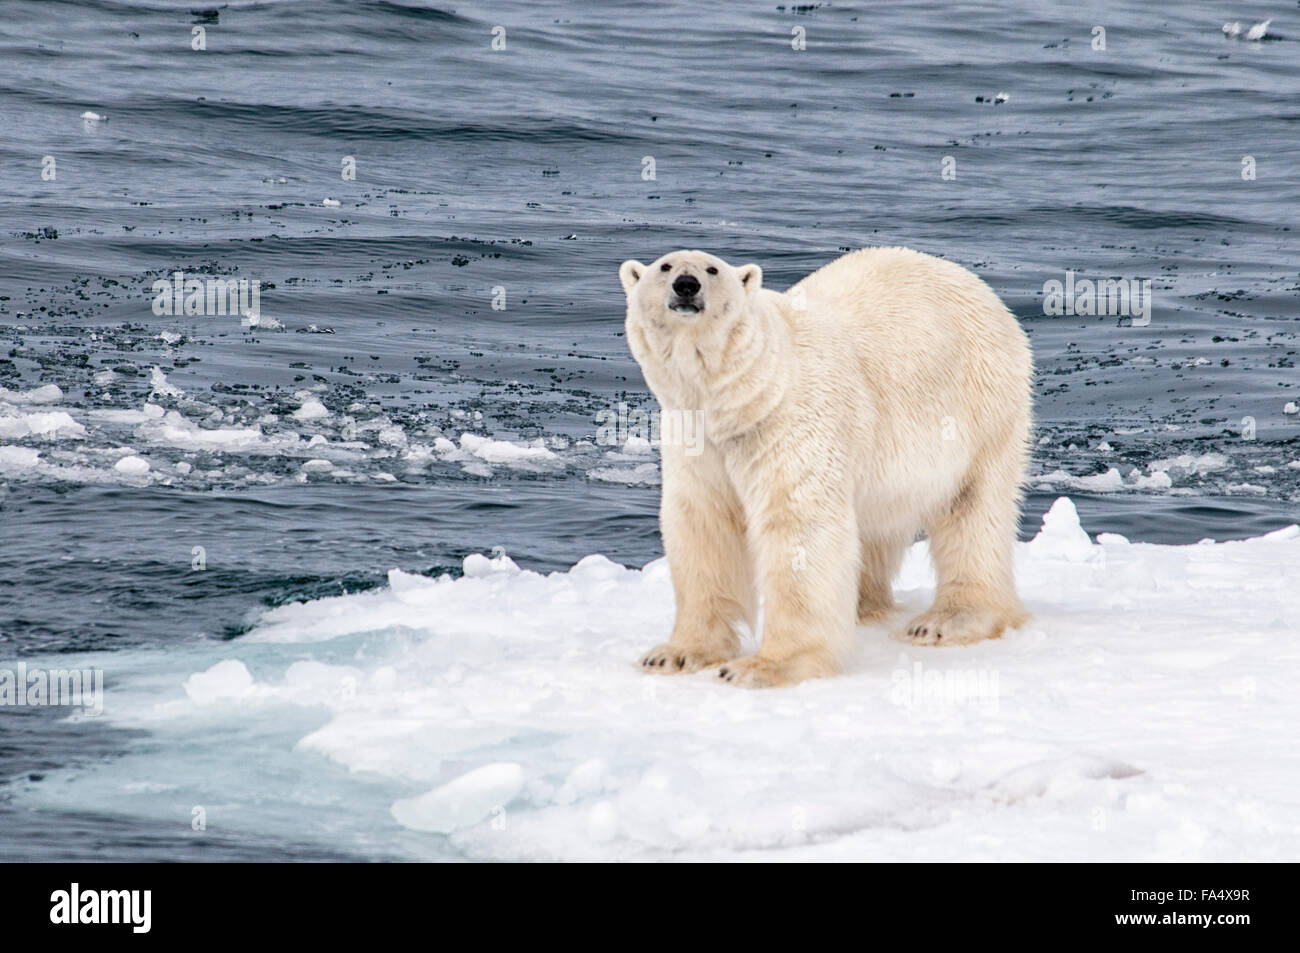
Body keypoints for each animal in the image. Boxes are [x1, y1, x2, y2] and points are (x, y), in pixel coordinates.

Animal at [618, 249, 1034, 686]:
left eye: (712, 269)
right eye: (665, 266)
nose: (686, 285)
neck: (746, 395)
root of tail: (977, 286)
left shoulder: (790, 423)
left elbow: (799, 528)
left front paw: (764, 667)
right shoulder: (695, 439)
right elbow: (703, 525)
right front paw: (675, 654)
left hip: (981, 405)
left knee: (973, 509)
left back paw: (944, 621)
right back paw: (866, 606)